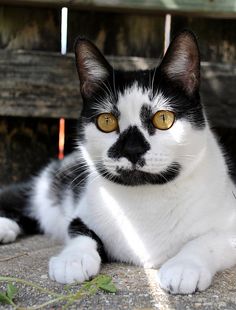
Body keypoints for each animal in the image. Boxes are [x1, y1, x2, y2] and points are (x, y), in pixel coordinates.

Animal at [0, 30, 236, 294]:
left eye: (163, 118)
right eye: (106, 121)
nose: (132, 150)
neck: (147, 199)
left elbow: (207, 241)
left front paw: (185, 267)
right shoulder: (82, 215)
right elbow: (80, 232)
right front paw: (72, 260)